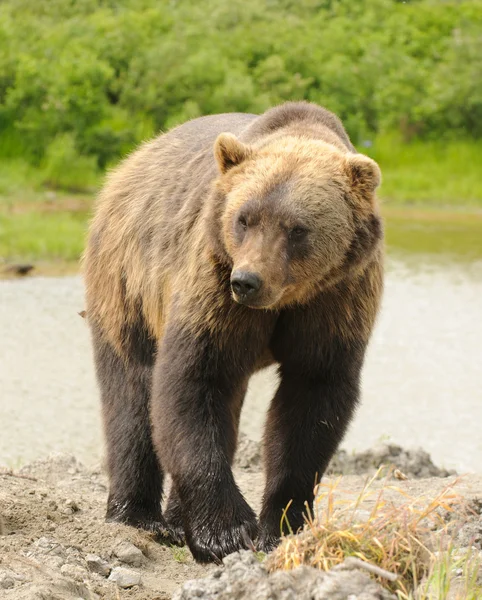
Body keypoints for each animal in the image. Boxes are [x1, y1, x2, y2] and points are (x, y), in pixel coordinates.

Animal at [83, 99, 384, 564]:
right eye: (245, 218)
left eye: (297, 228)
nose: (248, 281)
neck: (284, 302)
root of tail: (131, 163)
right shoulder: (213, 282)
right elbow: (191, 381)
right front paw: (227, 532)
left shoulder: (335, 301)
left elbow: (311, 402)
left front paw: (282, 526)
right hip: (126, 277)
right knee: (132, 392)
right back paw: (139, 517)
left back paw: (175, 520)